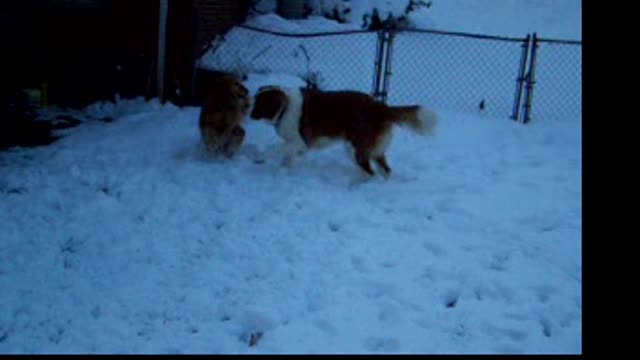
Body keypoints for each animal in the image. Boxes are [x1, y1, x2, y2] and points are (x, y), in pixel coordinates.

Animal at [248, 86, 438, 179]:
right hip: (372, 150)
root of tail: (380, 107)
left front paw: (260, 156)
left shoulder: (299, 141)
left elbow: (277, 148)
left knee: (371, 172)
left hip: (355, 149)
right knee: (385, 170)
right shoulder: (299, 146)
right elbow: (289, 157)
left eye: (258, 103)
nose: (248, 112)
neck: (285, 107)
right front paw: (285, 170)